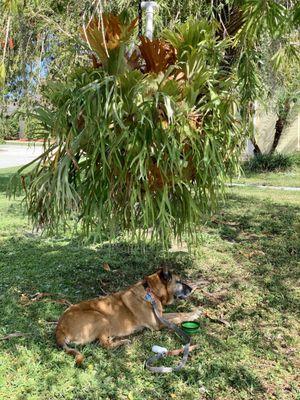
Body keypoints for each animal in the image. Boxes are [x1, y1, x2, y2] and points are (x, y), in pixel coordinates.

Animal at [56, 268, 202, 364]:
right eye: (179, 281)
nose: (191, 289)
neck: (151, 291)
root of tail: (59, 329)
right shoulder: (158, 324)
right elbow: (178, 317)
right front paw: (194, 315)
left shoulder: (160, 316)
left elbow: (178, 313)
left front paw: (194, 312)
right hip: (100, 317)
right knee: (104, 345)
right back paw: (123, 342)